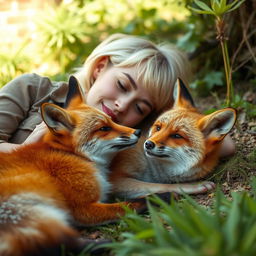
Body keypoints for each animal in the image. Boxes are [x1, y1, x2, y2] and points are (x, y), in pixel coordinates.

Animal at [0, 82, 144, 256]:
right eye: (103, 129)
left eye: (112, 121)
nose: (138, 131)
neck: (73, 154)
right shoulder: (83, 209)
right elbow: (136, 203)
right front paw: (161, 198)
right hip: (38, 213)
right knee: (57, 244)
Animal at [109, 78, 237, 198]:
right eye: (158, 127)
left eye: (177, 136)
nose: (148, 144)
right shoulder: (115, 179)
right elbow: (158, 185)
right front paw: (192, 186)